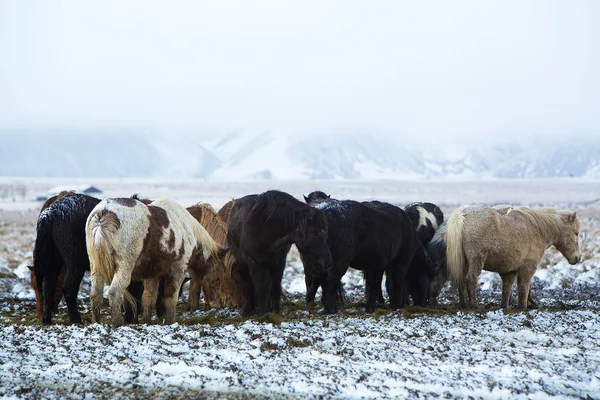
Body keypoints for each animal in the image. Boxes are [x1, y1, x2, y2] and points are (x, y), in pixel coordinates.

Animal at [29, 191, 144, 324]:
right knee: (68, 288)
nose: (135, 316)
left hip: (55, 261)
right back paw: (76, 319)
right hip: (74, 264)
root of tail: (49, 214)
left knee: (48, 286)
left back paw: (47, 320)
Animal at [84, 197, 225, 324]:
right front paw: (169, 322)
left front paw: (147, 321)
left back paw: (96, 322)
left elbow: (149, 298)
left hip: (96, 268)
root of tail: (103, 213)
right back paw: (117, 323)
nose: (217, 303)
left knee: (95, 294)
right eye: (217, 275)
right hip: (124, 267)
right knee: (115, 292)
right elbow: (170, 298)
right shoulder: (177, 270)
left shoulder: (153, 274)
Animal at [229, 189, 332, 318]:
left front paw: (275, 313)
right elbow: (260, 289)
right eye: (313, 233)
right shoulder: (255, 263)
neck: (264, 229)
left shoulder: (279, 262)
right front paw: (262, 315)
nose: (328, 261)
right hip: (243, 263)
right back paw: (247, 311)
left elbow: (275, 287)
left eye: (324, 231)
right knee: (248, 286)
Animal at [446, 205, 580, 310]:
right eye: (576, 233)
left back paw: (464, 305)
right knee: (471, 278)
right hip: (476, 260)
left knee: (461, 281)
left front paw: (504, 307)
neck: (537, 230)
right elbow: (523, 288)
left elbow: (507, 290)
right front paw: (522, 308)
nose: (578, 258)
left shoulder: (509, 271)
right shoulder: (528, 268)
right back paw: (474, 305)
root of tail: (462, 215)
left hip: (464, 263)